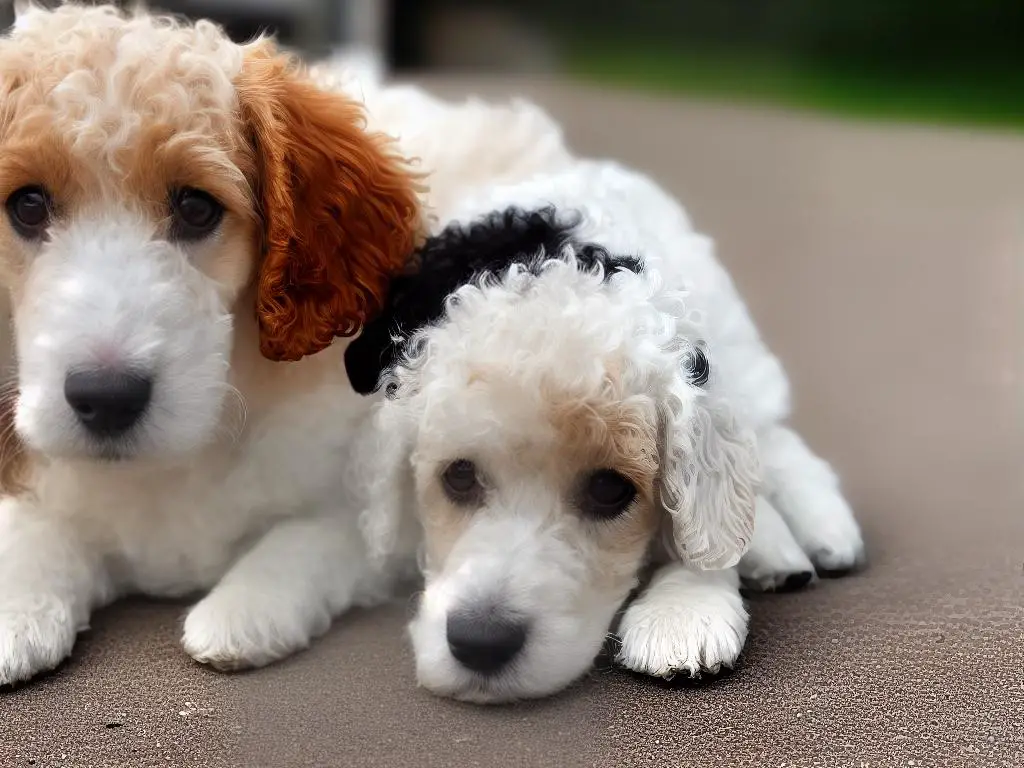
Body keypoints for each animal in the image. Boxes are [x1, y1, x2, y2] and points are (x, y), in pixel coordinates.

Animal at [350, 160, 864, 704]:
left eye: (609, 490)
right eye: (459, 476)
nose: (481, 643)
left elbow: (701, 516)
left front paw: (681, 615)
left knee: (770, 432)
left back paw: (822, 528)